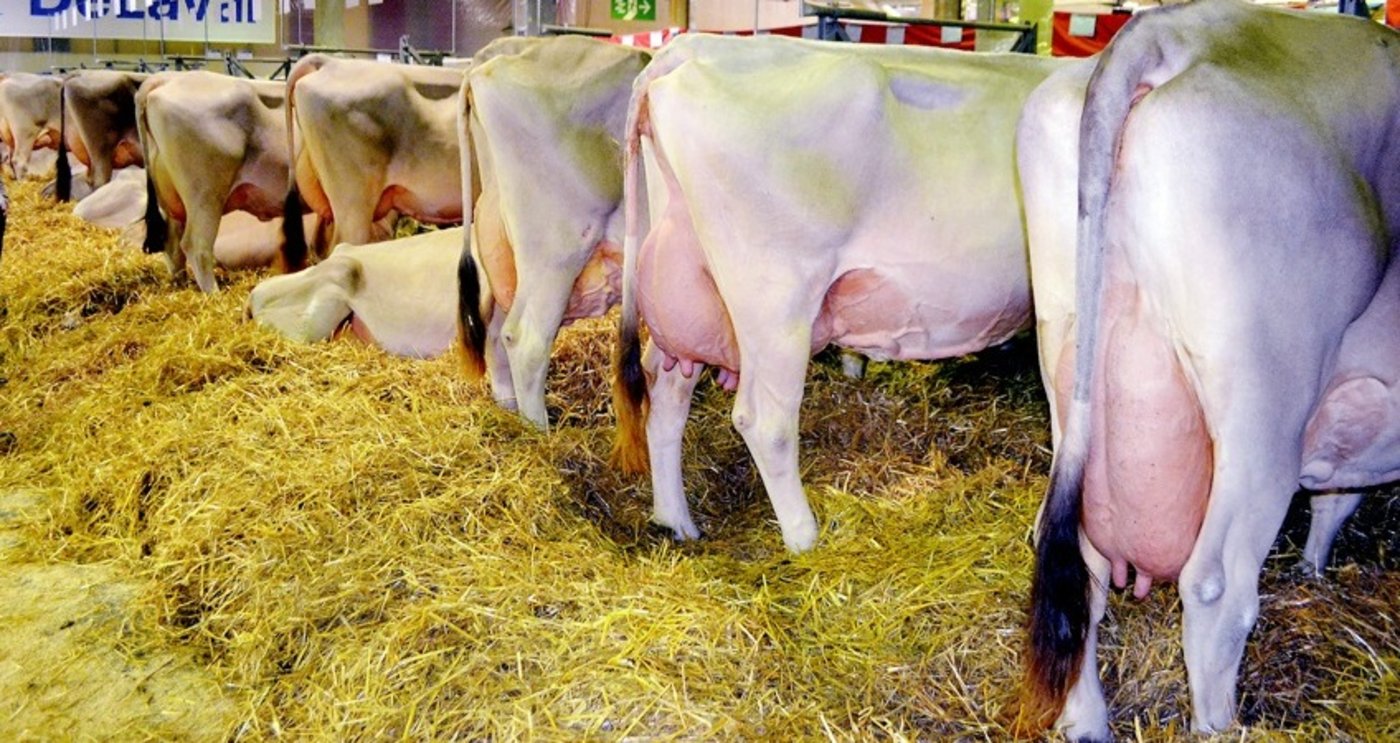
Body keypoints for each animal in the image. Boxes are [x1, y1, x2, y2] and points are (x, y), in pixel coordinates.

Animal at [137, 70, 308, 293]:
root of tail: (164, 79)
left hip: (171, 198)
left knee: (173, 245)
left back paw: (181, 286)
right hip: (205, 194)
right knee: (196, 245)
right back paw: (213, 294)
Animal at [455, 35, 651, 425]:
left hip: (505, 252)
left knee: (495, 330)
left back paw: (509, 410)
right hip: (556, 251)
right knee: (525, 341)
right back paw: (539, 429)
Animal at [610, 34, 1067, 553]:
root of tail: (696, 46)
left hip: (687, 288)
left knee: (665, 391)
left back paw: (676, 521)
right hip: (775, 296)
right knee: (765, 421)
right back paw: (804, 538)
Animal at [1017, 1, 1400, 739]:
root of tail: (1178, 30)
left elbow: (1338, 498)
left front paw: (1313, 567)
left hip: (1066, 359)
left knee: (1075, 562)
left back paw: (1087, 721)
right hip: (1263, 404)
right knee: (1217, 585)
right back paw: (1221, 723)